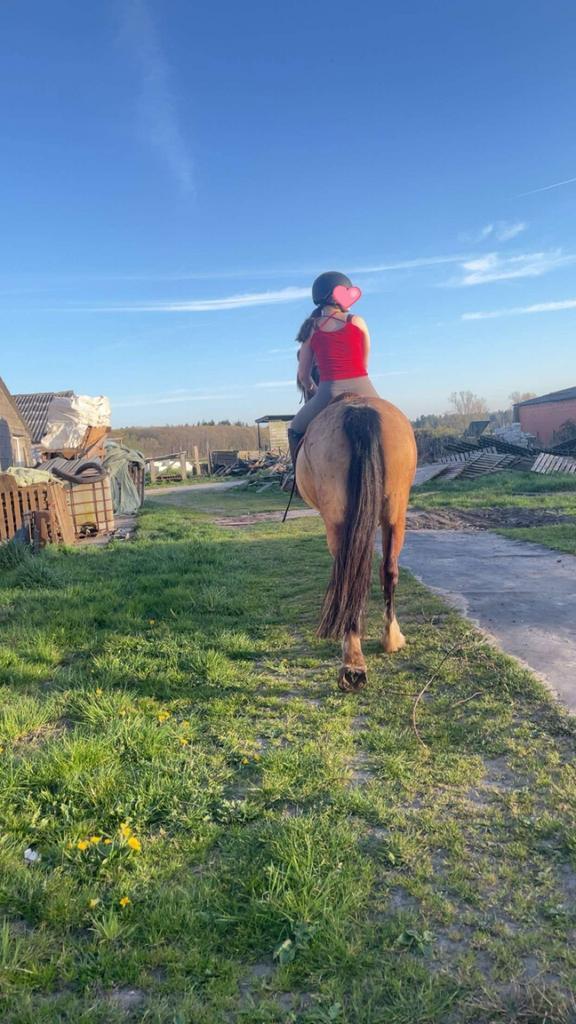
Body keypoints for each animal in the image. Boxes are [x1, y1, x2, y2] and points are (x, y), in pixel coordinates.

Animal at [295, 394, 417, 691]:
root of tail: (360, 411)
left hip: (338, 521)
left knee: (348, 578)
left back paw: (352, 662)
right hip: (396, 512)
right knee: (389, 571)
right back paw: (390, 639)